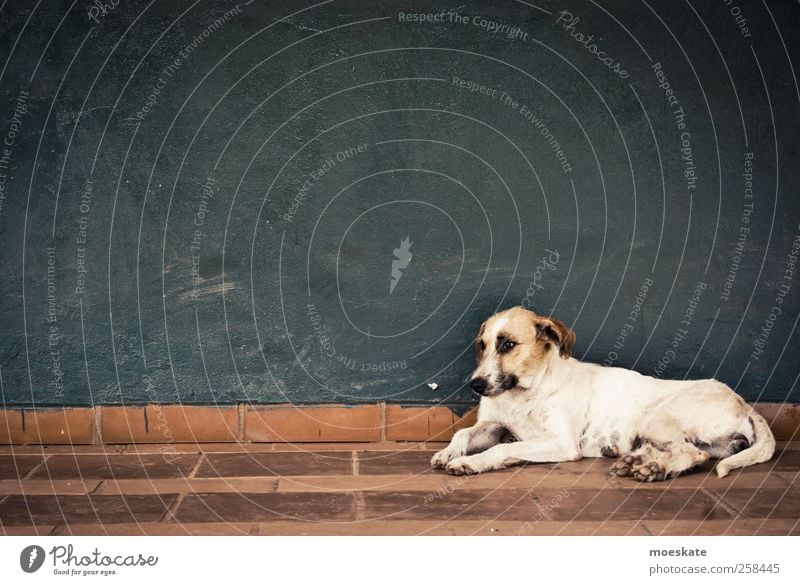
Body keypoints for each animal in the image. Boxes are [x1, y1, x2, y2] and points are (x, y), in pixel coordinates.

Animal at [432, 306, 776, 480]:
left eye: (507, 344)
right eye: (482, 345)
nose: (475, 385)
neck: (526, 390)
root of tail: (744, 404)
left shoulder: (561, 443)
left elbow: (504, 448)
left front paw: (473, 463)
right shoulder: (492, 425)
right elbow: (463, 433)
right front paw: (449, 452)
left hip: (657, 418)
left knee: (695, 454)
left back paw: (655, 468)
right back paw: (635, 459)